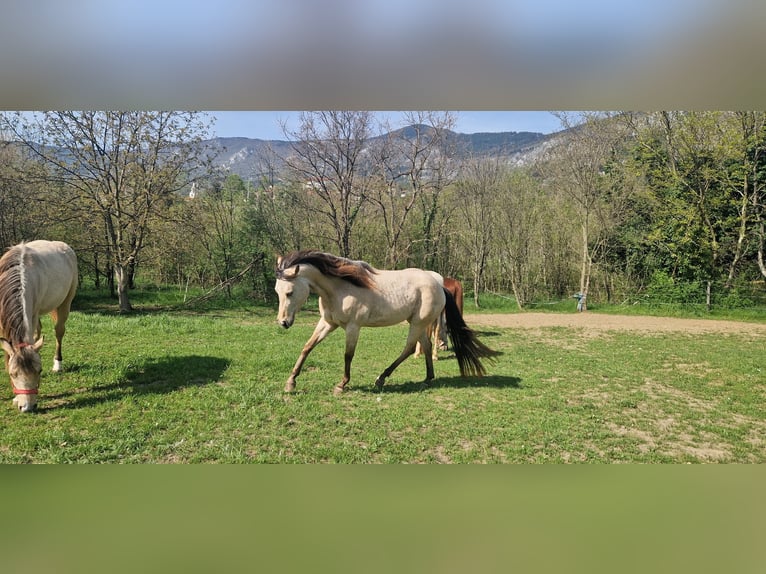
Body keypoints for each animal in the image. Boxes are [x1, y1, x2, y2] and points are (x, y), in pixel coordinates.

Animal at [0, 240, 78, 414]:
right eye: (13, 374)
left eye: (39, 371)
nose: (27, 407)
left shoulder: (33, 313)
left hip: (65, 303)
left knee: (58, 332)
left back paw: (58, 364)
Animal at [272, 252, 500, 396]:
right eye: (277, 291)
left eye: (289, 292)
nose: (283, 322)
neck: (339, 288)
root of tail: (438, 284)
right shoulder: (327, 323)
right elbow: (307, 347)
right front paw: (291, 383)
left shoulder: (353, 327)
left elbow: (348, 355)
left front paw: (341, 385)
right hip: (418, 323)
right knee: (425, 346)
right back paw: (428, 378)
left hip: (417, 323)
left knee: (409, 348)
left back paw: (382, 378)